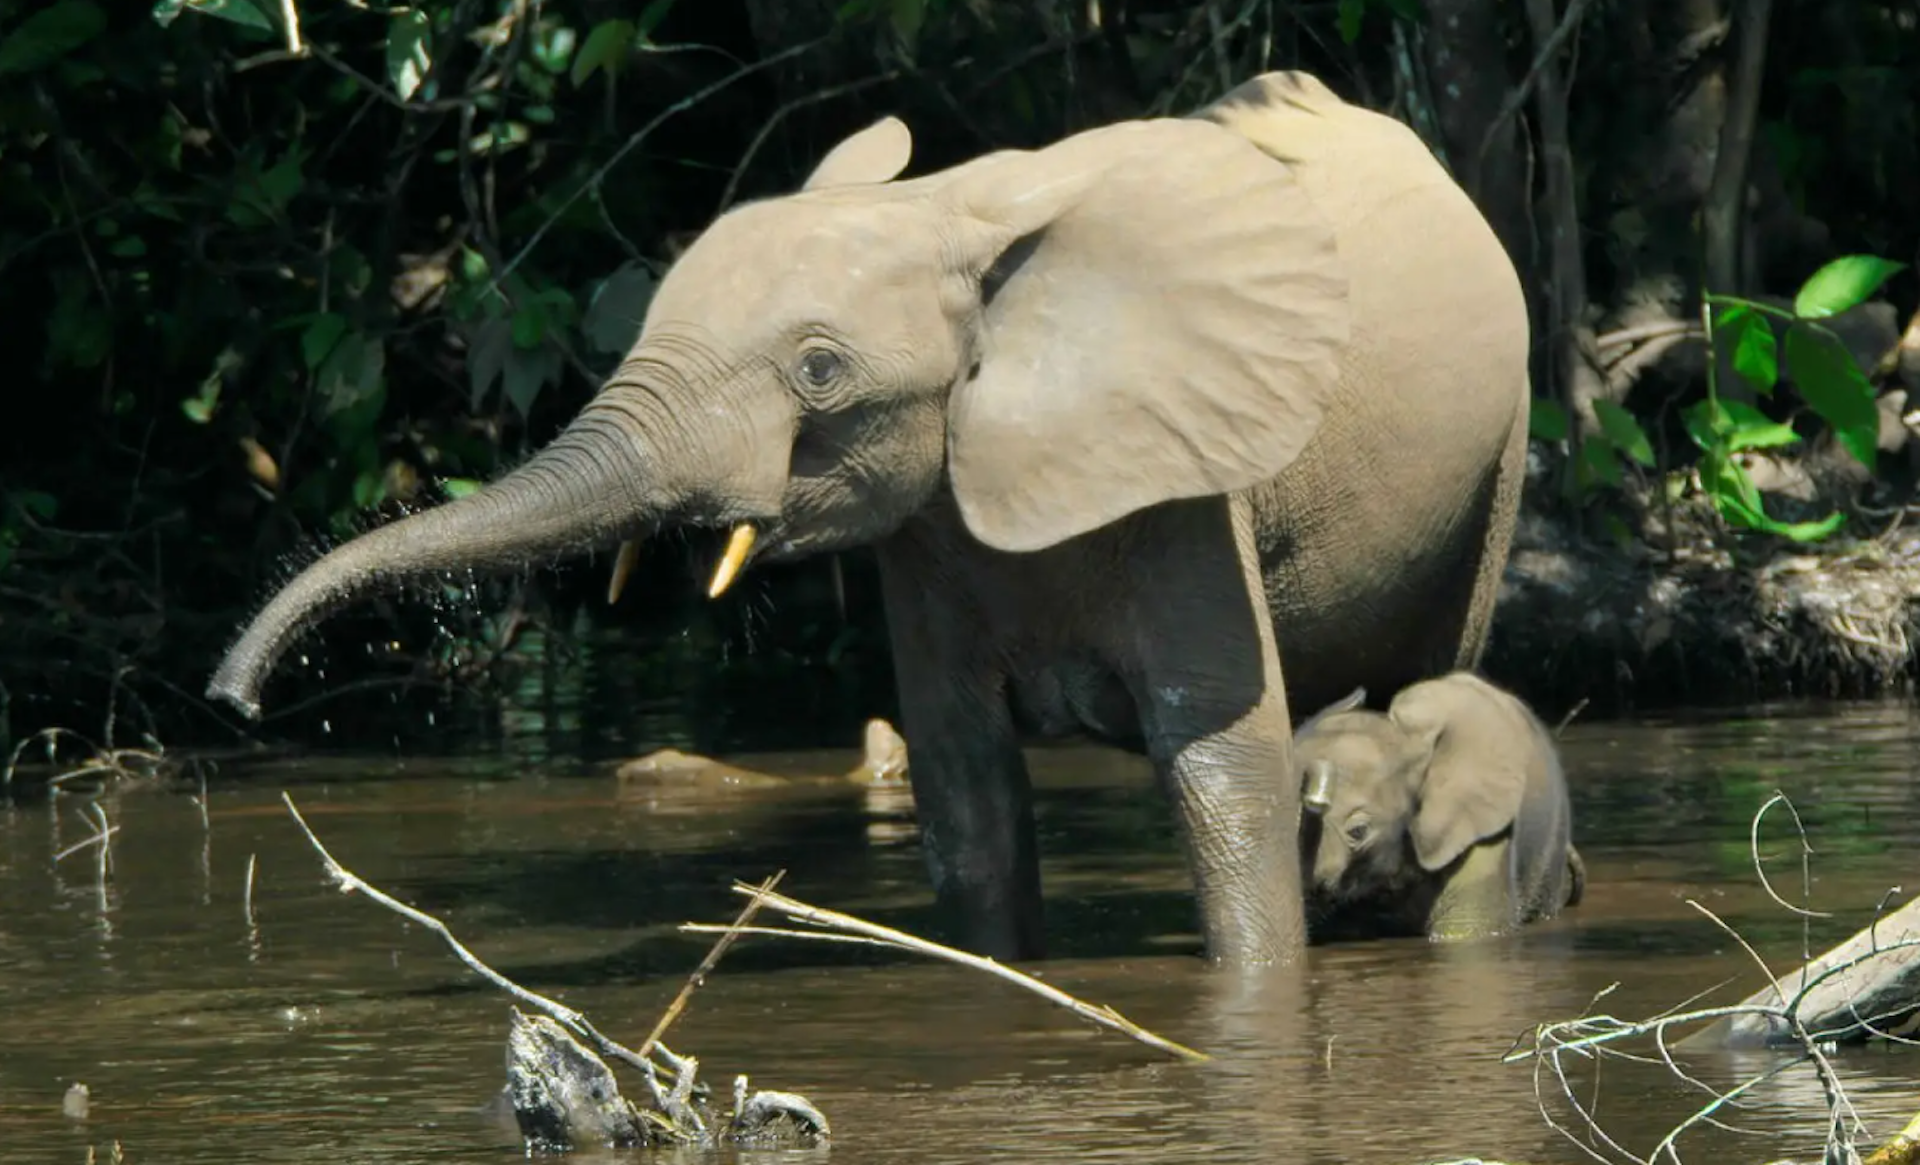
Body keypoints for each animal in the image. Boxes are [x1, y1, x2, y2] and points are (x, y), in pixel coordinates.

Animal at [205, 71, 1532, 968]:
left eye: (820, 370)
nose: (233, 701)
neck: (951, 214)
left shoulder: (1189, 480)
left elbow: (1221, 768)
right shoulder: (931, 528)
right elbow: (965, 788)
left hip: (1502, 452)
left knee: (1426, 676)